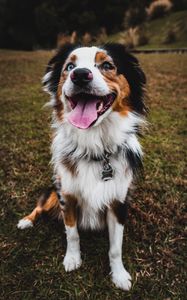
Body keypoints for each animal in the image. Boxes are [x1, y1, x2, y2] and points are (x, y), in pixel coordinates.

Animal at [17, 42, 146, 290]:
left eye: (107, 65)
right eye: (69, 66)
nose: (80, 75)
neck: (95, 148)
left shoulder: (118, 201)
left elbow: (115, 247)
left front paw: (119, 275)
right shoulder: (66, 195)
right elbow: (72, 234)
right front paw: (72, 259)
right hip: (52, 191)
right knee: (39, 207)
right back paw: (25, 221)